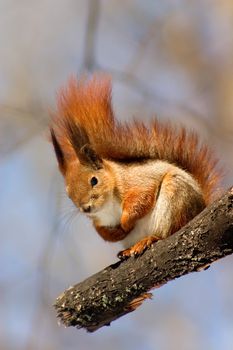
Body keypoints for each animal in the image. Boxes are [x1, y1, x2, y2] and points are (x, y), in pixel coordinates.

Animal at [49, 74, 220, 258]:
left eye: (94, 180)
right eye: (68, 195)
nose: (86, 208)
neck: (108, 205)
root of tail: (201, 208)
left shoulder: (138, 181)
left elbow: (141, 197)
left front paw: (125, 222)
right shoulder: (98, 220)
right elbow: (101, 231)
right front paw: (114, 233)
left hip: (176, 198)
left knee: (169, 231)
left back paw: (149, 239)